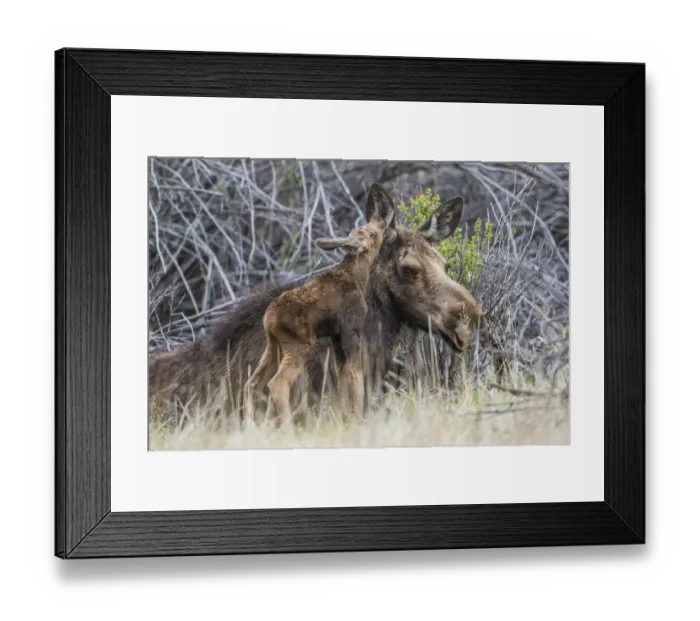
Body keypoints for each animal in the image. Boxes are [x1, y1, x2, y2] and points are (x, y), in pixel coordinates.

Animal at [243, 183, 395, 424]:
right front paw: (359, 419)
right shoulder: (352, 330)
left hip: (272, 346)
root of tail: (268, 319)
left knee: (252, 384)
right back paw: (288, 426)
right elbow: (356, 378)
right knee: (277, 384)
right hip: (300, 344)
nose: (381, 220)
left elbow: (343, 380)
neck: (359, 277)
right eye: (370, 233)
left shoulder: (335, 336)